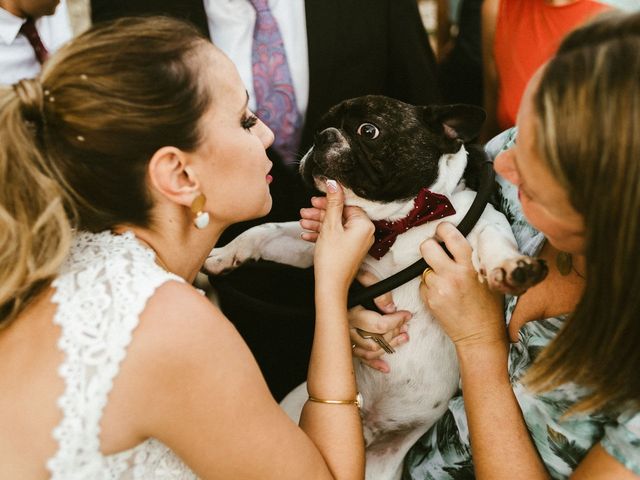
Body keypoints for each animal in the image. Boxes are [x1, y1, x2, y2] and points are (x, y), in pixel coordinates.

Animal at [204, 95, 544, 478]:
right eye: (321, 124)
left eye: (369, 130)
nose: (322, 136)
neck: (398, 223)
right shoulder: (313, 244)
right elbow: (265, 231)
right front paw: (223, 254)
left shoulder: (484, 223)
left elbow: (495, 241)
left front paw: (510, 267)